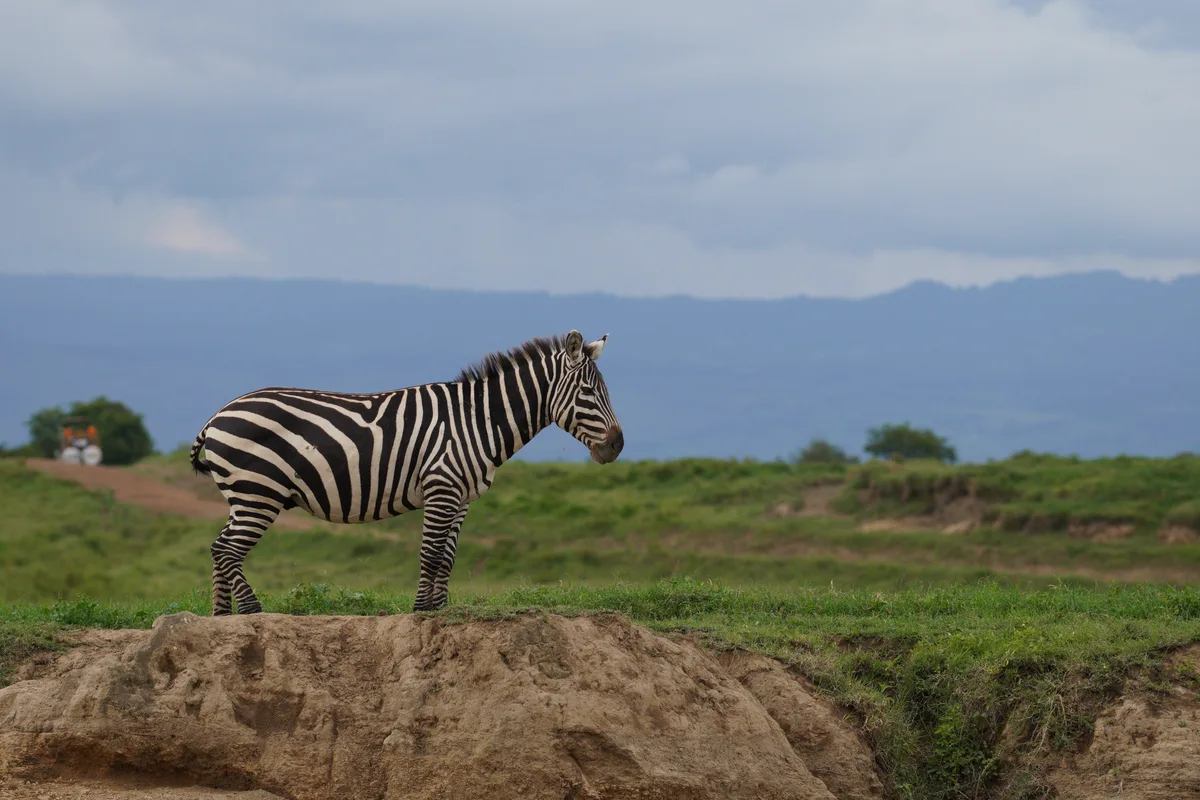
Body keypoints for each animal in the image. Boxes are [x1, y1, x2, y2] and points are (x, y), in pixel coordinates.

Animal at [188, 329, 623, 615]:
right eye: (588, 393)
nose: (617, 446)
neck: (477, 420)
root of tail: (217, 415)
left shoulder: (461, 497)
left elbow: (447, 558)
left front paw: (440, 611)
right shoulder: (441, 487)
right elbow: (430, 554)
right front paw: (420, 612)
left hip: (243, 496)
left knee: (217, 548)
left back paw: (222, 617)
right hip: (257, 492)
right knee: (226, 549)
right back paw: (251, 610)